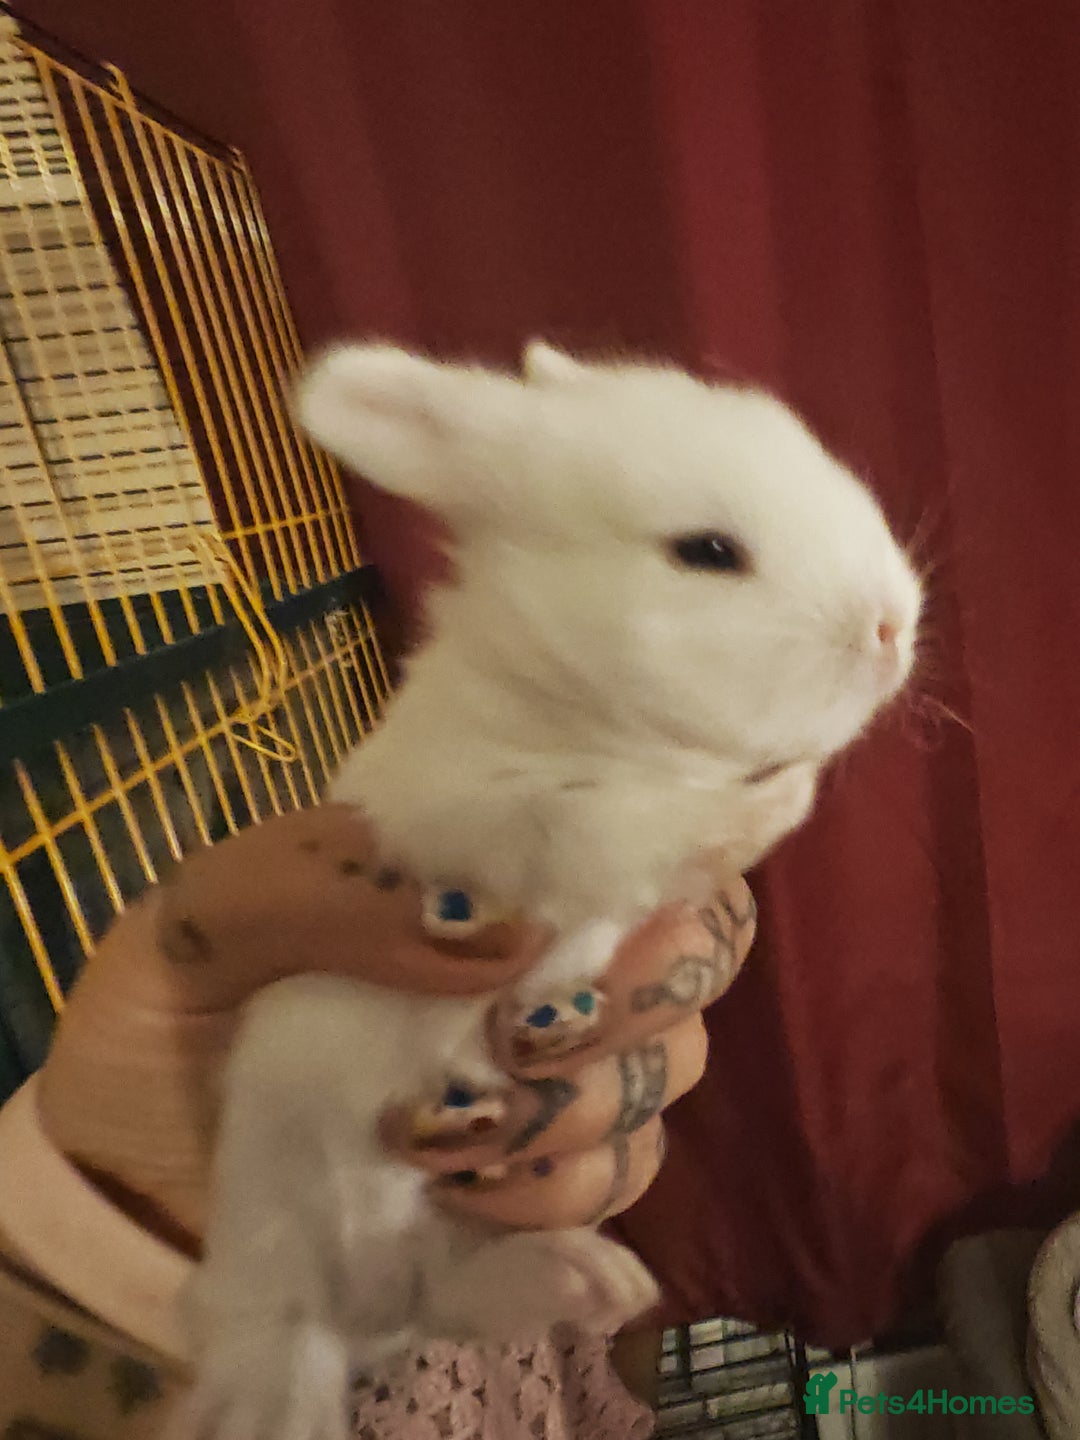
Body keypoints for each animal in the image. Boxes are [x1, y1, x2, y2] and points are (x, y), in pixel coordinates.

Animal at [177, 341, 922, 1440]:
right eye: (707, 551)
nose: (891, 627)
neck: (576, 711)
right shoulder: (490, 829)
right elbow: (608, 830)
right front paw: (770, 800)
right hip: (282, 1235)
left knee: (438, 1298)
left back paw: (592, 1279)